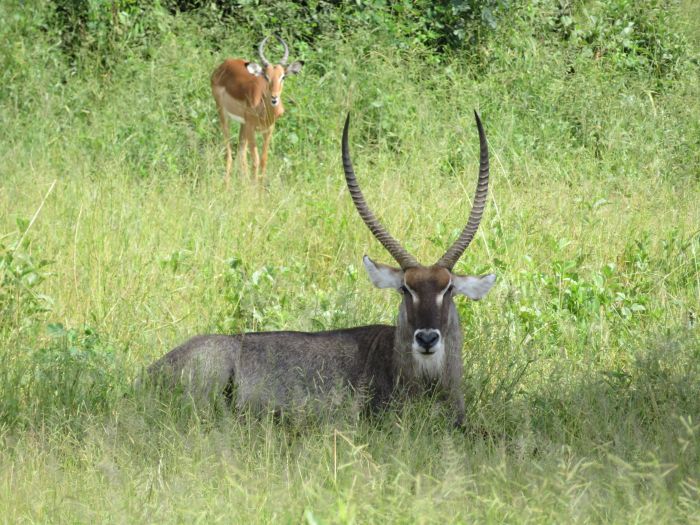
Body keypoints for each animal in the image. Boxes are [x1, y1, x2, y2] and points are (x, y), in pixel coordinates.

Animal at [211, 35, 304, 184]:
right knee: (229, 153)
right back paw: (228, 185)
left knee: (241, 153)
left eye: (283, 76)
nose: (274, 98)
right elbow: (255, 160)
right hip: (223, 115)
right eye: (266, 76)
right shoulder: (251, 128)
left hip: (243, 124)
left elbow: (263, 160)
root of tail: (223, 65)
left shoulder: (269, 130)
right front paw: (254, 188)